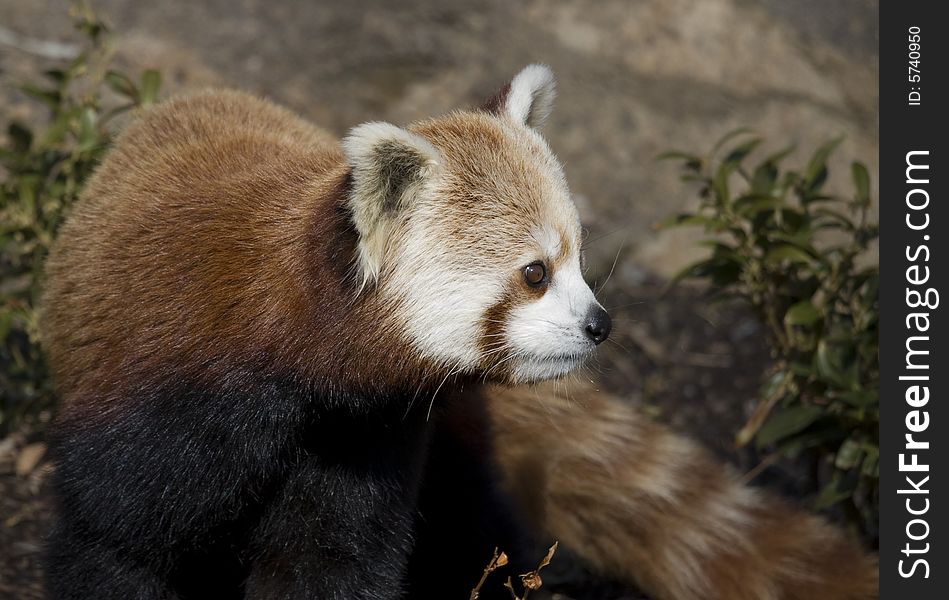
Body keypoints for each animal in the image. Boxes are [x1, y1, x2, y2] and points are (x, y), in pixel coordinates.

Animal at [40, 65, 872, 600]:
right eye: (534, 274)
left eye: (577, 259)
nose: (599, 325)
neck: (291, 368)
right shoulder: (158, 405)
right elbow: (115, 547)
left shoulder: (359, 439)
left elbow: (332, 564)